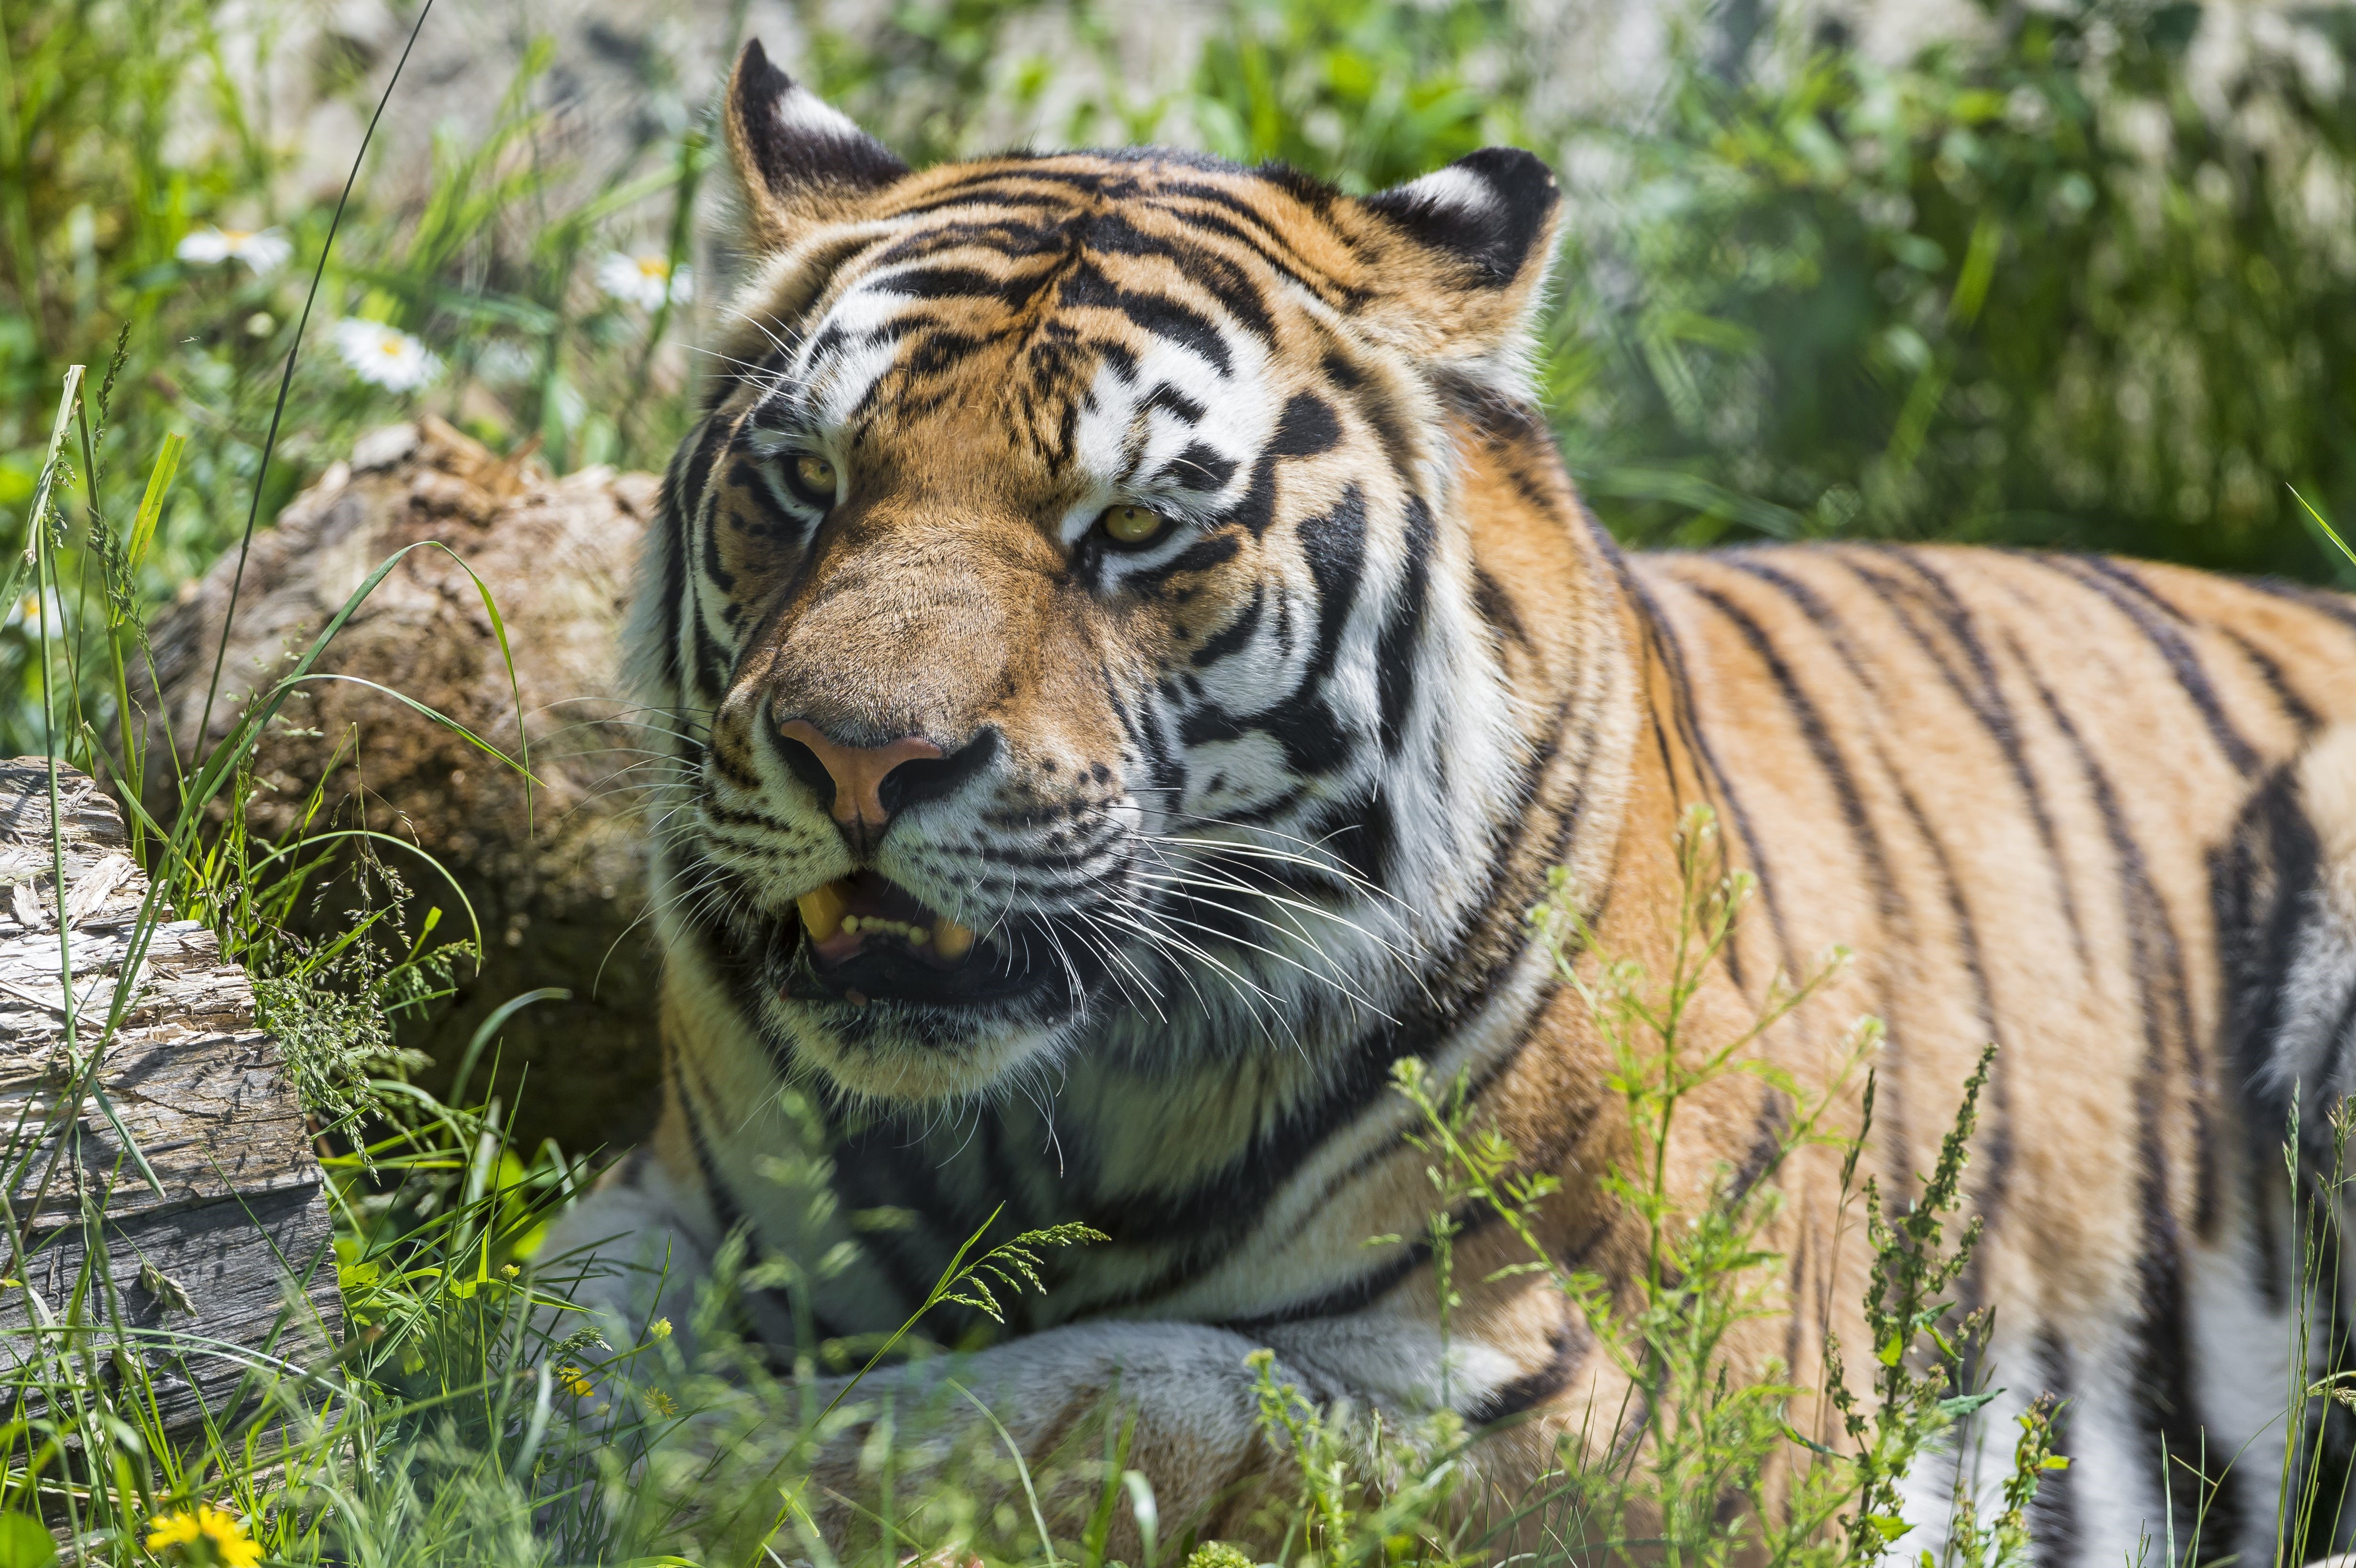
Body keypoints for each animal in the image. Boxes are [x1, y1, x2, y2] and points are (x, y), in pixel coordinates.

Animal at [539, 36, 2356, 1564]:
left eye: (1131, 528)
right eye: (804, 481)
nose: (855, 758)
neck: (1036, 1120)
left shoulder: (1649, 1407)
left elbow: (1112, 1401)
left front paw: (719, 1473)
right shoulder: (674, 1194)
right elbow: (547, 1330)